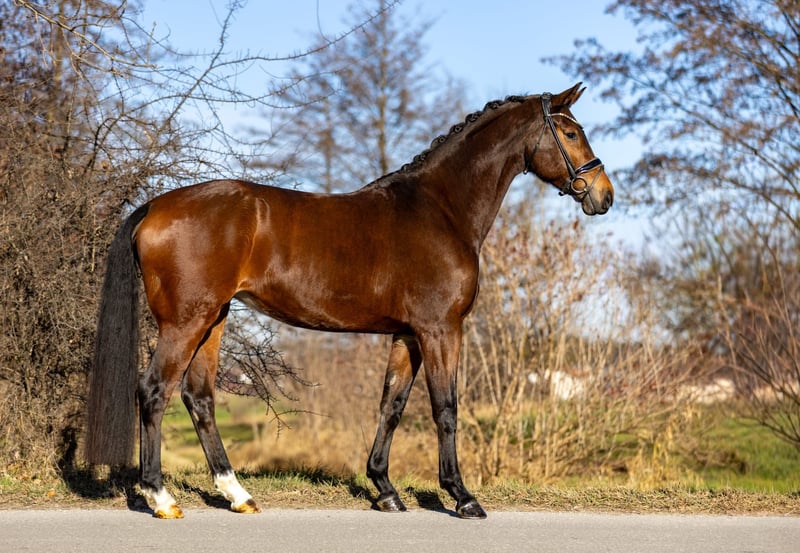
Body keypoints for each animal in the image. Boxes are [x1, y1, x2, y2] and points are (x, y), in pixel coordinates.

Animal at [85, 83, 614, 519]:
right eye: (570, 133)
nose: (603, 195)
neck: (440, 210)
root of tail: (156, 205)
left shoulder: (407, 335)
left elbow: (391, 405)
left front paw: (385, 489)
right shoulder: (441, 329)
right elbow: (445, 408)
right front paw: (462, 497)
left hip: (213, 319)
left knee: (199, 398)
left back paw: (237, 495)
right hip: (184, 322)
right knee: (154, 391)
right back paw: (161, 498)